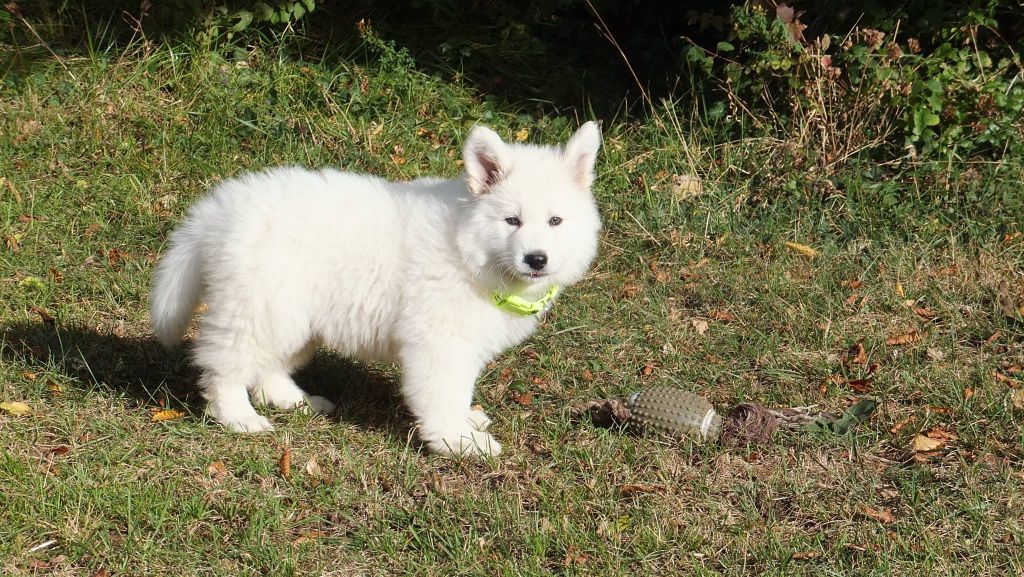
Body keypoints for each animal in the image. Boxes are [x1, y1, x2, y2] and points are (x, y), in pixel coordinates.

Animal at [148, 121, 602, 457]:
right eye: (512, 221)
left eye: (556, 221)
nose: (537, 259)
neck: (469, 246)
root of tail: (218, 211)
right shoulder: (439, 343)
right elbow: (443, 394)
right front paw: (458, 441)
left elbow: (459, 392)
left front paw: (466, 422)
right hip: (259, 309)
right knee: (224, 366)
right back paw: (238, 417)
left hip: (294, 317)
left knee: (268, 366)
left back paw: (297, 401)